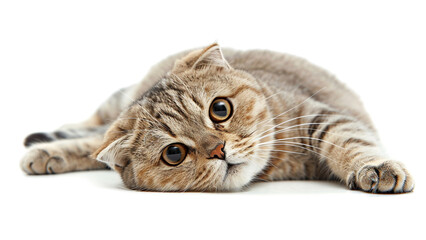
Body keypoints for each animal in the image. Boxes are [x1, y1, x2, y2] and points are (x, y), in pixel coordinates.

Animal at [20, 43, 412, 193]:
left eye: (220, 109)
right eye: (174, 153)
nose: (219, 150)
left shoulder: (321, 115)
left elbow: (351, 141)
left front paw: (376, 166)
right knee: (94, 134)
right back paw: (45, 147)